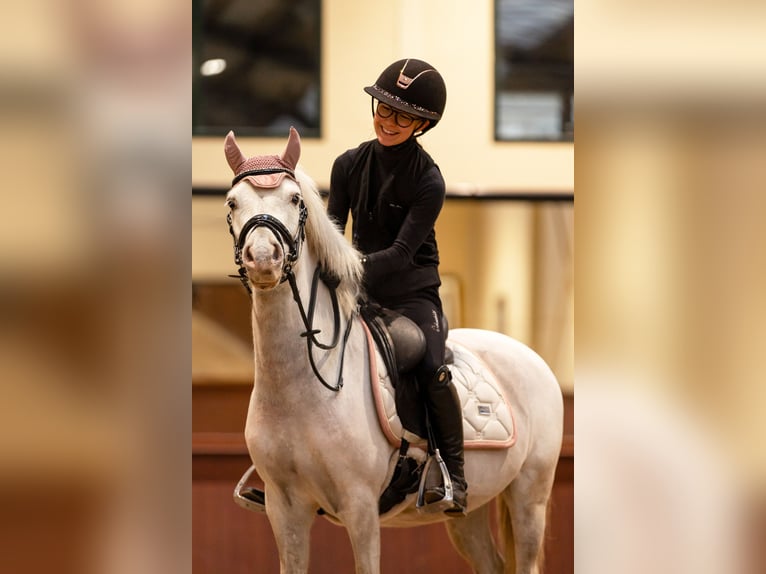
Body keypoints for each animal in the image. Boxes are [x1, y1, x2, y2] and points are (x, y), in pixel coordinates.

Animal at [222, 127, 564, 574]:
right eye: (233, 202)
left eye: (295, 200)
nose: (264, 258)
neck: (300, 386)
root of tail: (532, 357)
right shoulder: (285, 509)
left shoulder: (360, 507)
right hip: (468, 513)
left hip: (529, 497)